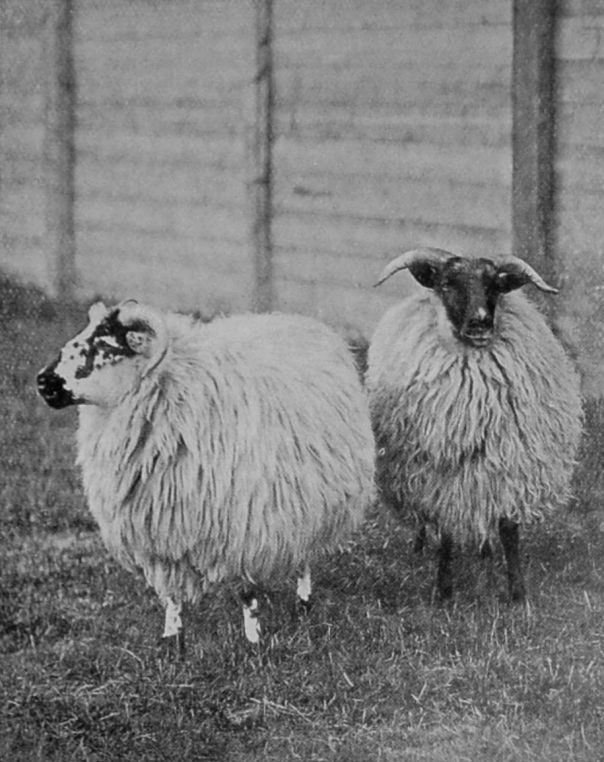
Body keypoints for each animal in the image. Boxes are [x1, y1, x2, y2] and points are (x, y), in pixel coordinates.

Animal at [37, 300, 375, 648]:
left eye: (105, 344)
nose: (43, 383)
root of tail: (299, 321)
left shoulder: (243, 526)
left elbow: (247, 591)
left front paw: (253, 642)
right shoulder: (160, 528)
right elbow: (172, 592)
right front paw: (173, 640)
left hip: (311, 498)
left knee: (305, 555)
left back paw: (304, 602)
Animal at [366, 247, 583, 602]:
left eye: (495, 285)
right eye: (447, 284)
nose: (481, 321)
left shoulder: (510, 464)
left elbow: (508, 528)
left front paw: (517, 593)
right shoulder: (440, 475)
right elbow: (446, 531)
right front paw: (443, 591)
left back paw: (485, 551)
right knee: (426, 520)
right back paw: (420, 546)